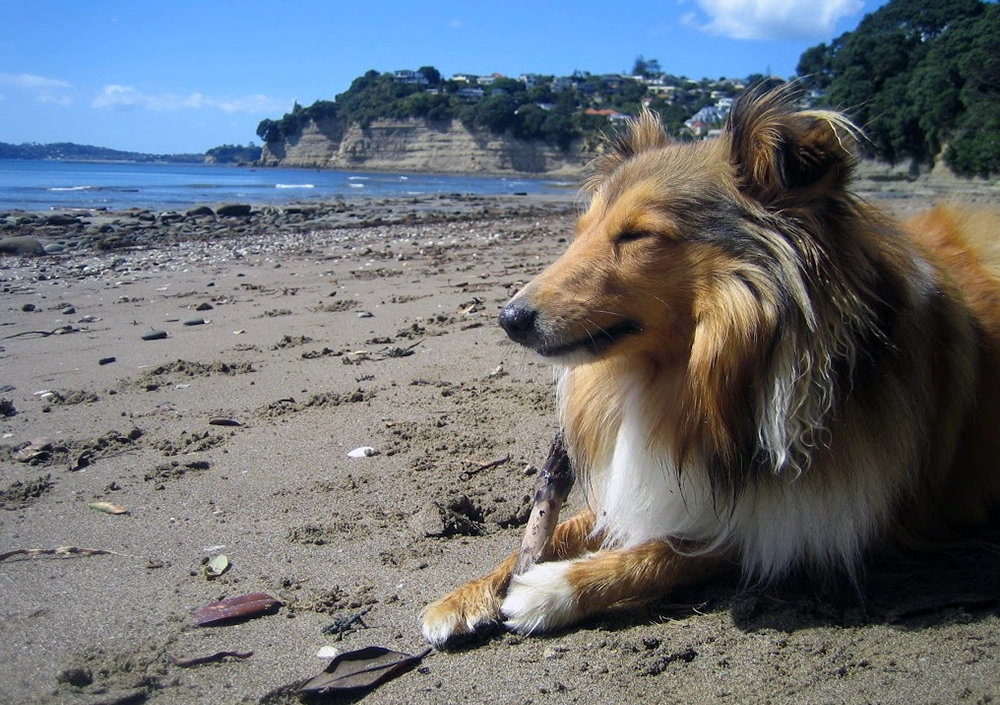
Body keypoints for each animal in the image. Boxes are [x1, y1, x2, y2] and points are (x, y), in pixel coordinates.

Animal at [418, 84, 996, 648]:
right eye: (581, 229)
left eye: (637, 235)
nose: (508, 318)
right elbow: (556, 533)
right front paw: (466, 596)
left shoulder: (806, 521)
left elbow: (672, 551)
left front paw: (553, 587)